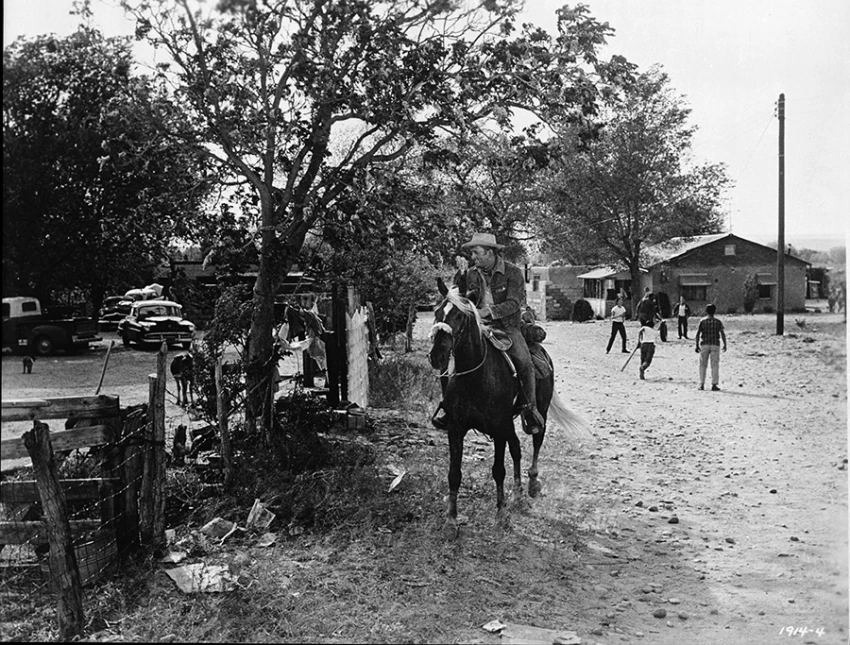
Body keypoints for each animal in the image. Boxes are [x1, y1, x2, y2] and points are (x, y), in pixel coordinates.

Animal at [428, 280, 588, 524]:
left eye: (460, 316)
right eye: (437, 312)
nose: (437, 355)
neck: (476, 378)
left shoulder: (498, 428)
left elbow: (498, 470)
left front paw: (501, 512)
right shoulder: (455, 428)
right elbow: (454, 473)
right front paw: (451, 519)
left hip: (537, 413)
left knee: (536, 441)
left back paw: (532, 483)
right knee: (516, 448)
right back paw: (518, 493)